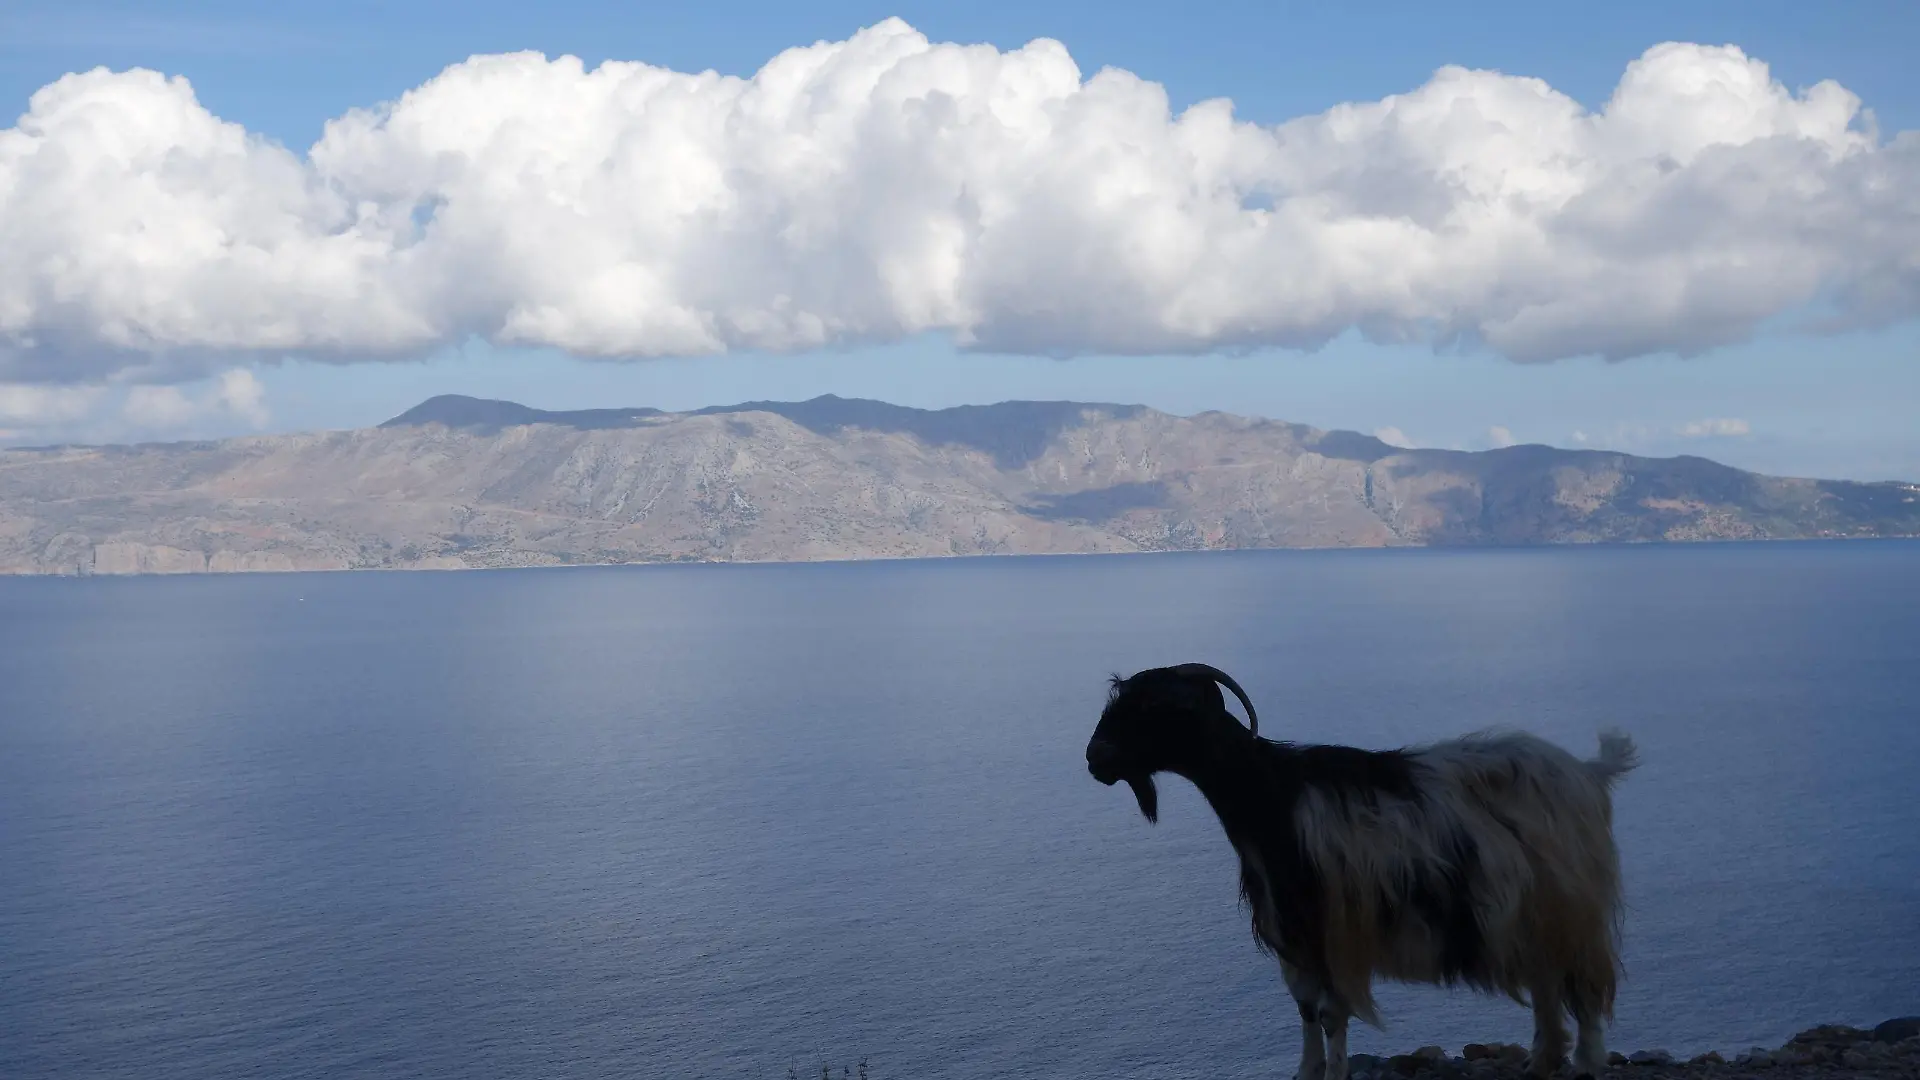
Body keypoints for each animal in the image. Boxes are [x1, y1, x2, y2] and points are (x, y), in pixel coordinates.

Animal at [1084, 663, 1637, 1080]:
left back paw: (1586, 1063)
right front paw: (1307, 1073)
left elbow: (1331, 1015)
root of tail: (1588, 772)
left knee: (1583, 987)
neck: (1271, 796)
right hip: (1533, 915)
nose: (1095, 758)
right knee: (1547, 983)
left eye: (1151, 707)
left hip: (1570, 905)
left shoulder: (1332, 929)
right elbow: (1305, 1008)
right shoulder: (1293, 934)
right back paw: (1541, 1063)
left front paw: (1334, 1073)